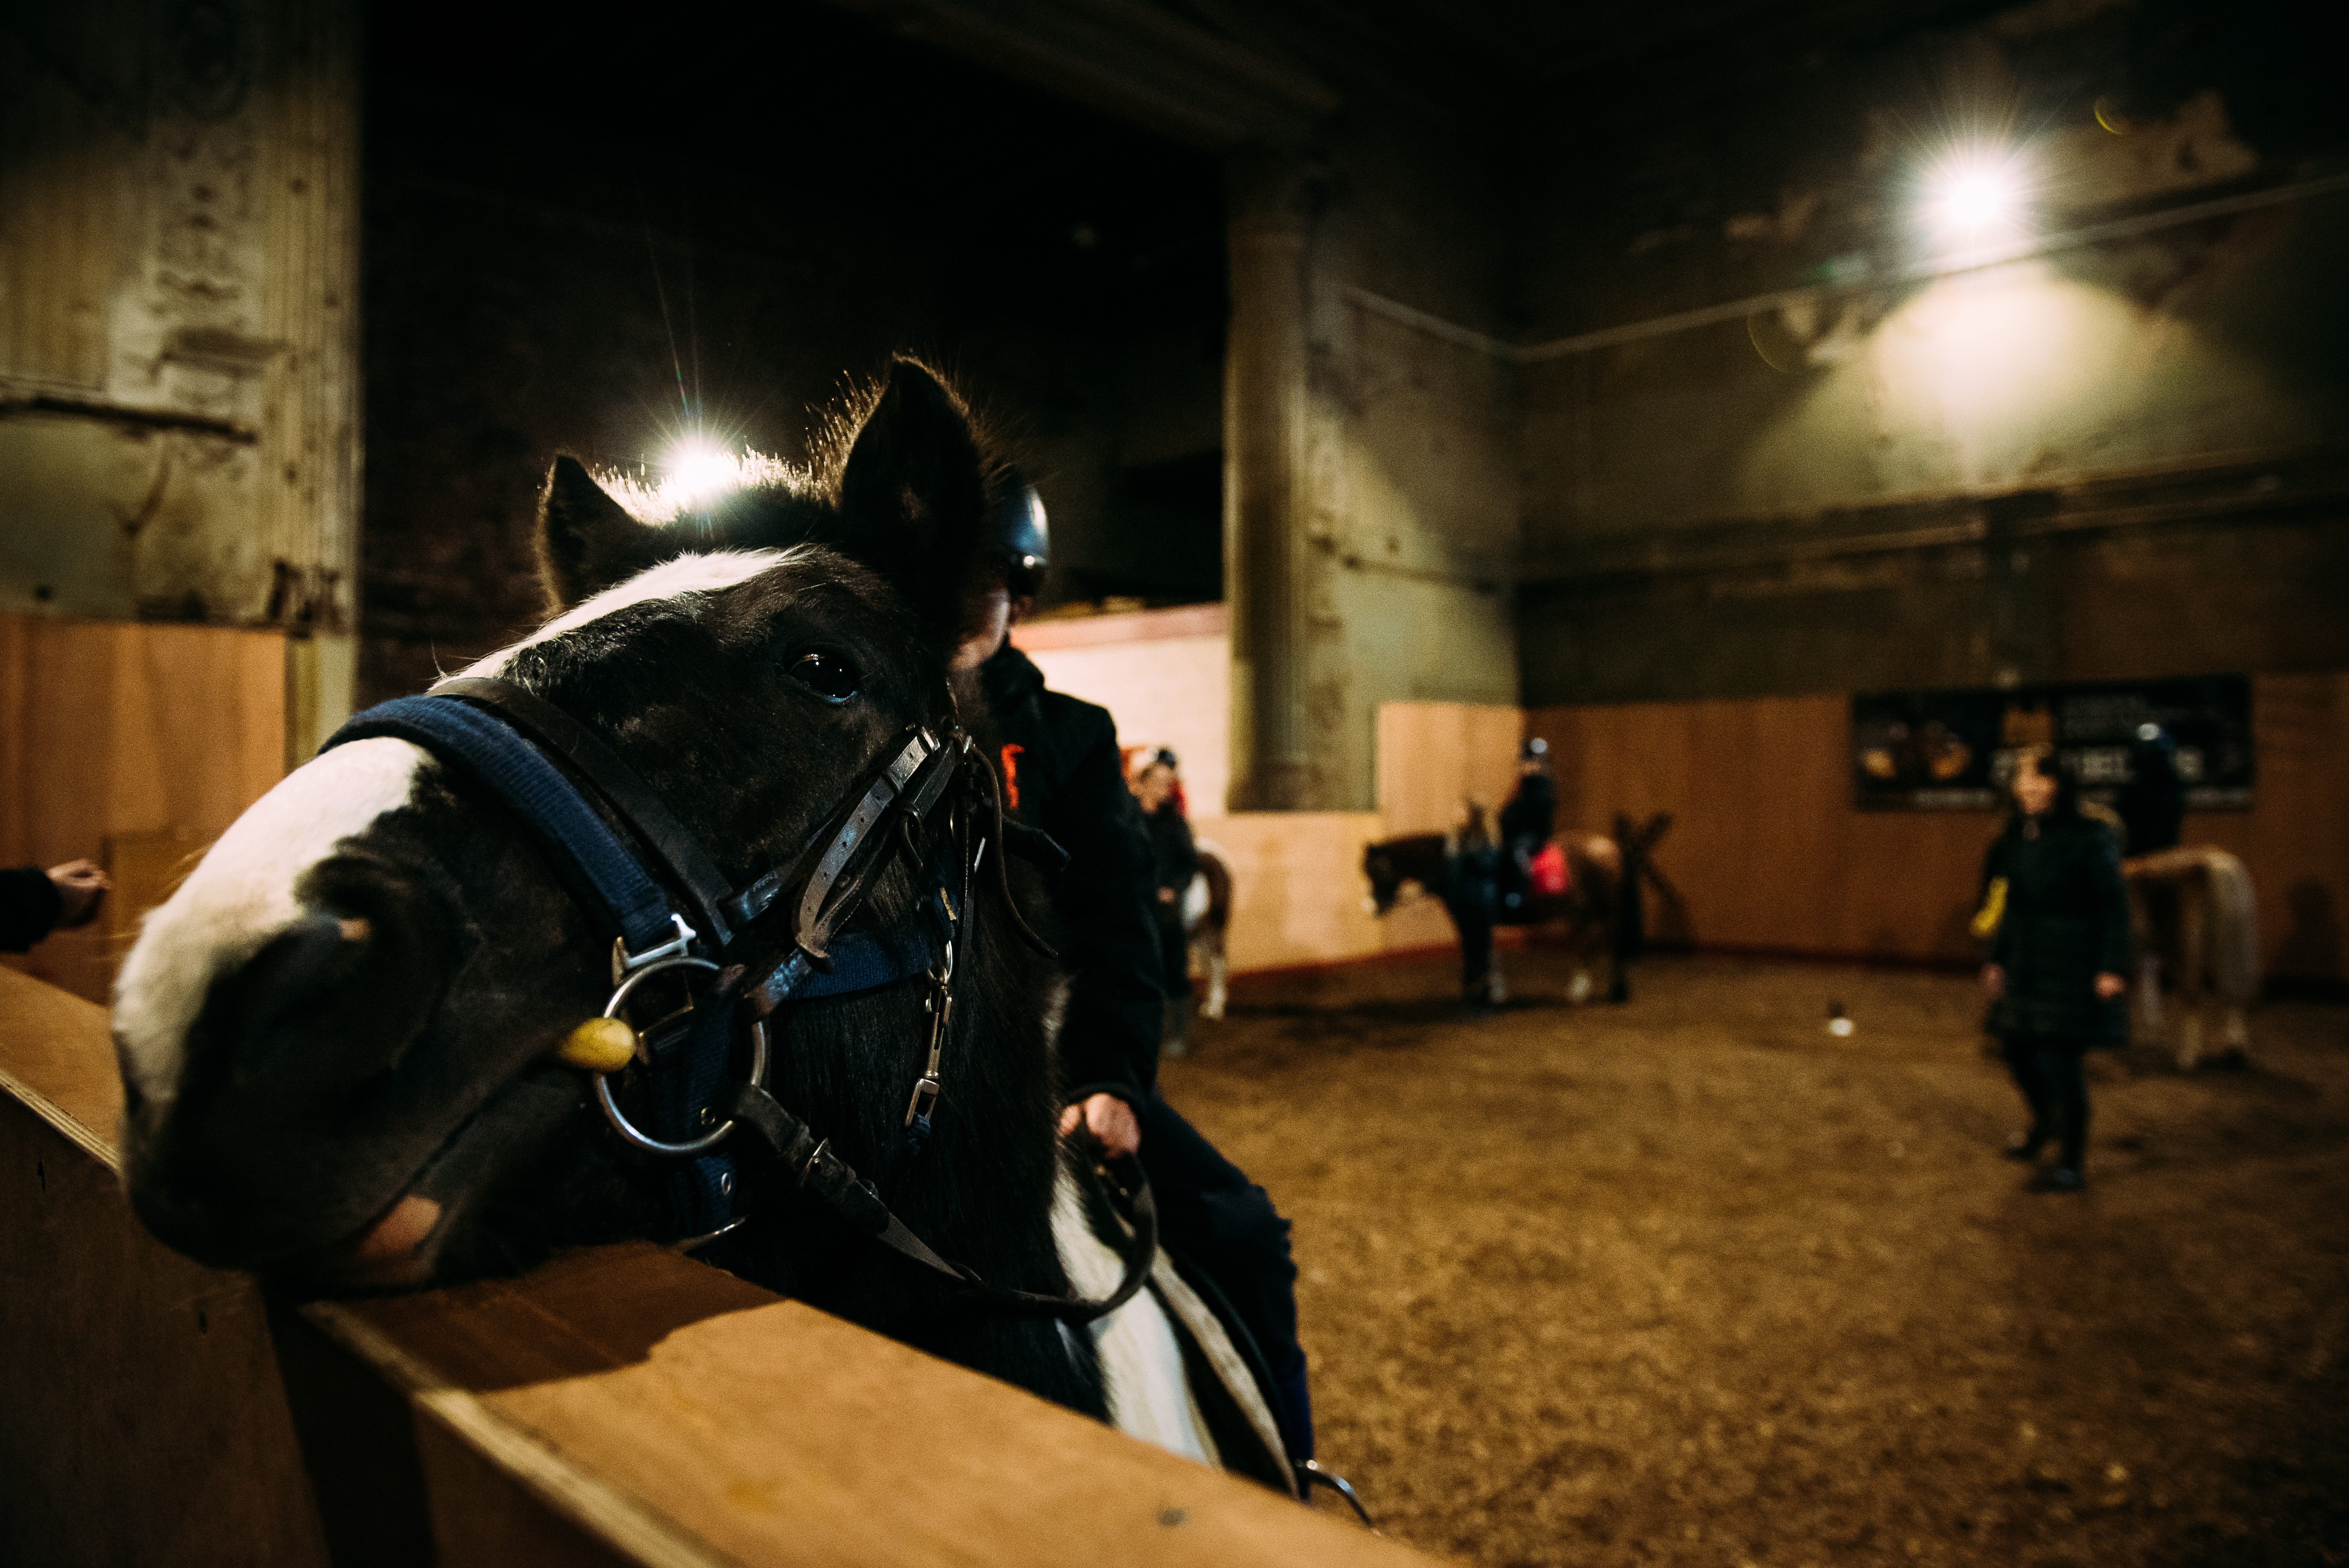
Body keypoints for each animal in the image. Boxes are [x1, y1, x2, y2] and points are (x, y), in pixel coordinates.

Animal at [1361, 813, 1672, 1007]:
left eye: (1378, 871)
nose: (1371, 908)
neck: (1460, 866)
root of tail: (1610, 846)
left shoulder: (1471, 918)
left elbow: (1474, 950)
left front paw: (1477, 991)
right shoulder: (1472, 919)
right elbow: (1475, 950)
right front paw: (1481, 991)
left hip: (1606, 909)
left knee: (1613, 942)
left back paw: (1616, 991)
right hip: (1582, 910)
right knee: (1588, 944)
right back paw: (1579, 990)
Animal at [2123, 846, 2259, 1069]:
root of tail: (2212, 862)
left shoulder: (2137, 952)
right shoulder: (2146, 954)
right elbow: (2149, 995)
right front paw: (2150, 1037)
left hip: (2187, 951)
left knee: (2193, 996)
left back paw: (2187, 1057)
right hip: (2232, 951)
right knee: (2235, 997)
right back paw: (2235, 1050)